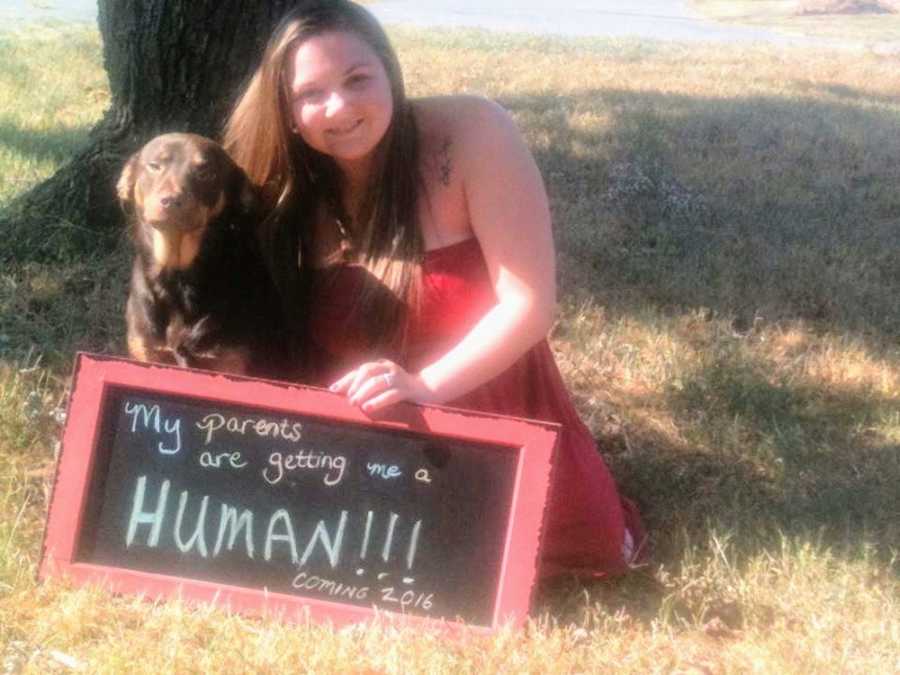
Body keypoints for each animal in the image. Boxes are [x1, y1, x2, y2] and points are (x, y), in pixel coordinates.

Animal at [118, 132, 294, 380]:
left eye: (206, 173)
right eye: (154, 166)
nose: (171, 200)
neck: (179, 279)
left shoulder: (232, 363)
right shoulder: (146, 352)